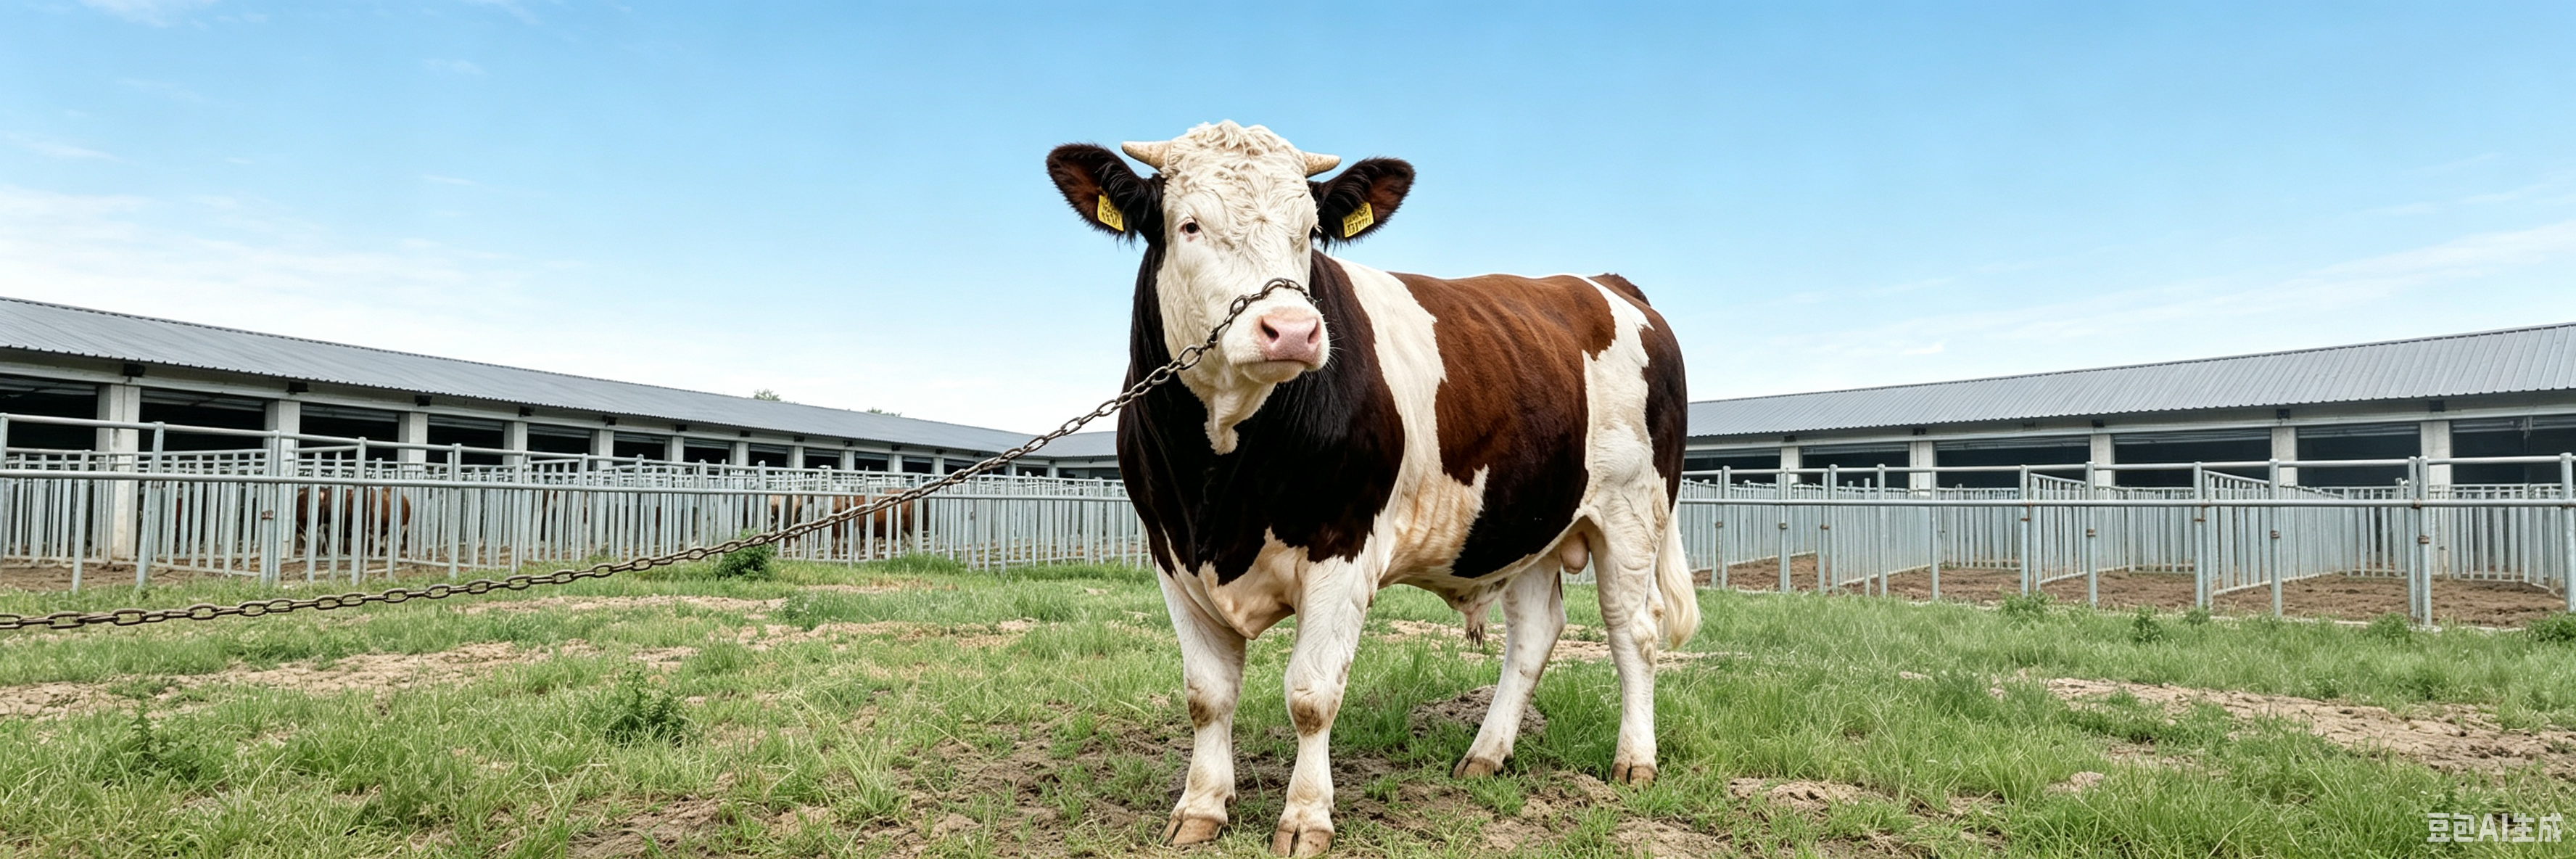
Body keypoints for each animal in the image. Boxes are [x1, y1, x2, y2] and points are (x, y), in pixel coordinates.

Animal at [1044, 121, 1696, 856]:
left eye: (1309, 231)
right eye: (1188, 225)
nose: (1292, 330)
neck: (1219, 474)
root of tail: (1604, 283)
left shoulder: (1344, 546)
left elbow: (1311, 694)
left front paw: (1306, 817)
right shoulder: (1171, 552)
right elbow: (1207, 693)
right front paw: (1202, 808)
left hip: (1633, 512)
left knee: (1633, 631)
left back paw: (1634, 762)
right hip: (1527, 520)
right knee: (1534, 634)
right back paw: (1485, 755)